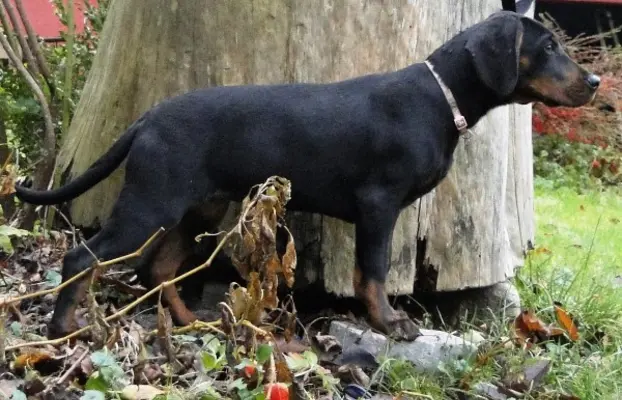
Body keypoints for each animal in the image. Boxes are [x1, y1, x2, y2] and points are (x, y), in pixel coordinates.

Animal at [14, 10, 600, 340]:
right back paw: (64, 328)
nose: (595, 82)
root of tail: (148, 118)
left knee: (157, 268)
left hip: (198, 205)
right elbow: (373, 272)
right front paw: (390, 323)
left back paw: (188, 322)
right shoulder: (378, 204)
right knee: (84, 257)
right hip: (151, 202)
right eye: (548, 47)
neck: (441, 98)